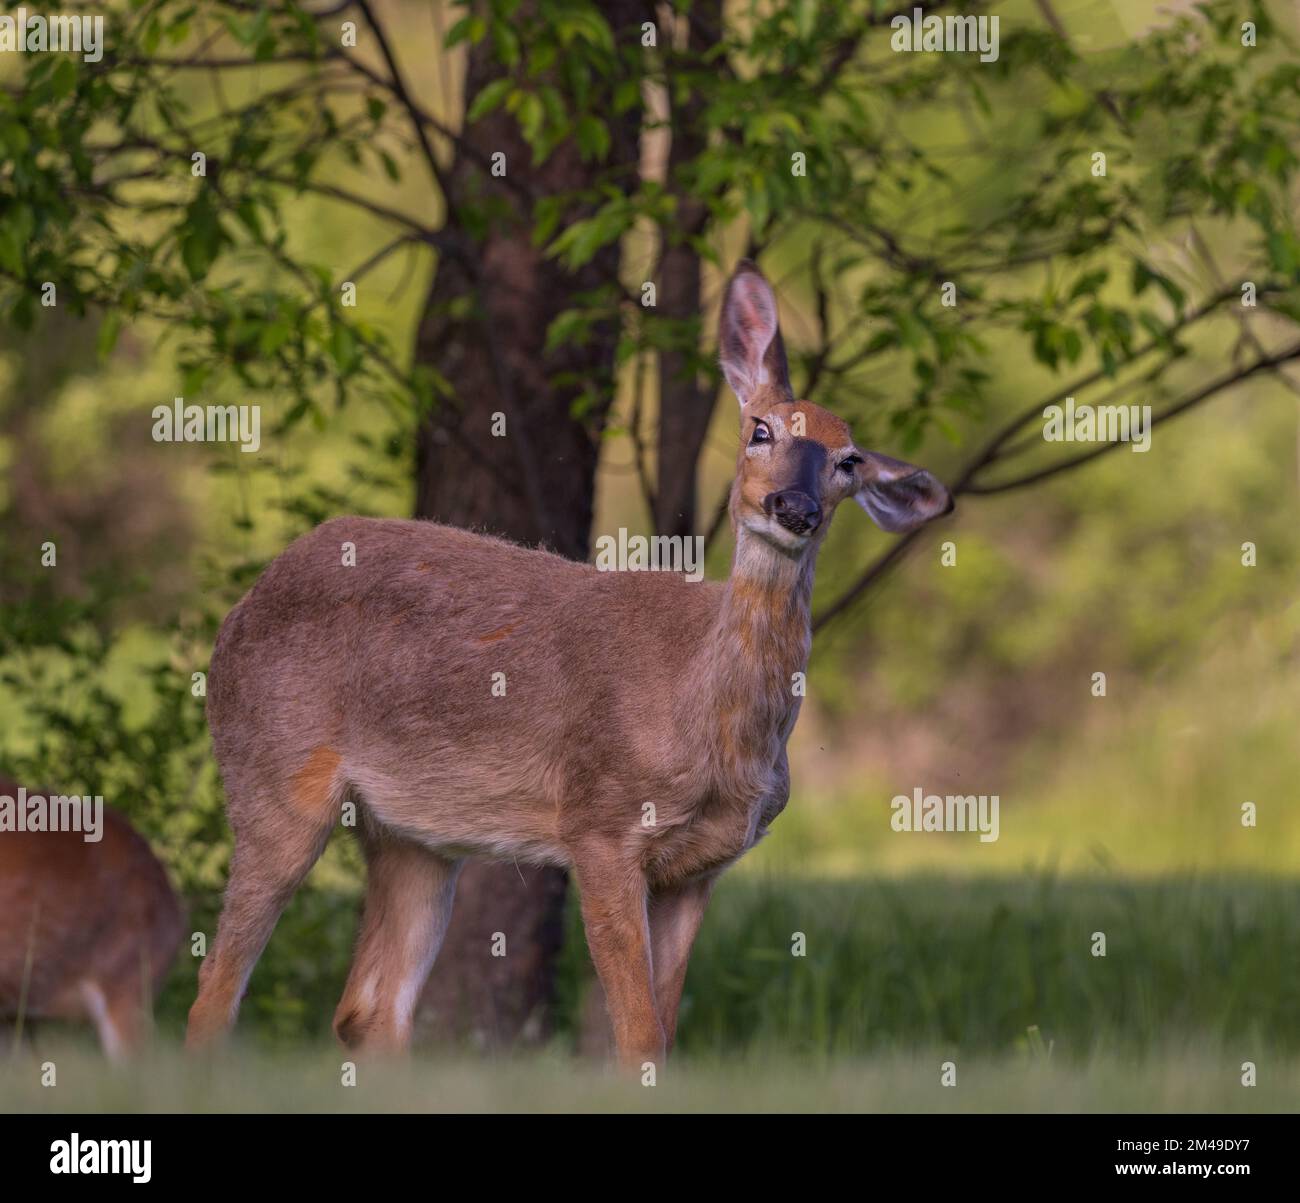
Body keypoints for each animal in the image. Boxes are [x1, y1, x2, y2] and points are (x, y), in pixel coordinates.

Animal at [185, 260, 956, 1061]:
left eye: (848, 461)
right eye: (759, 429)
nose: (793, 507)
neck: (708, 719)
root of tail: (242, 607)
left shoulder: (700, 868)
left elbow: (661, 1030)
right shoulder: (599, 822)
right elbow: (638, 1034)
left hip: (411, 834)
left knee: (368, 1008)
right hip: (274, 775)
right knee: (213, 994)